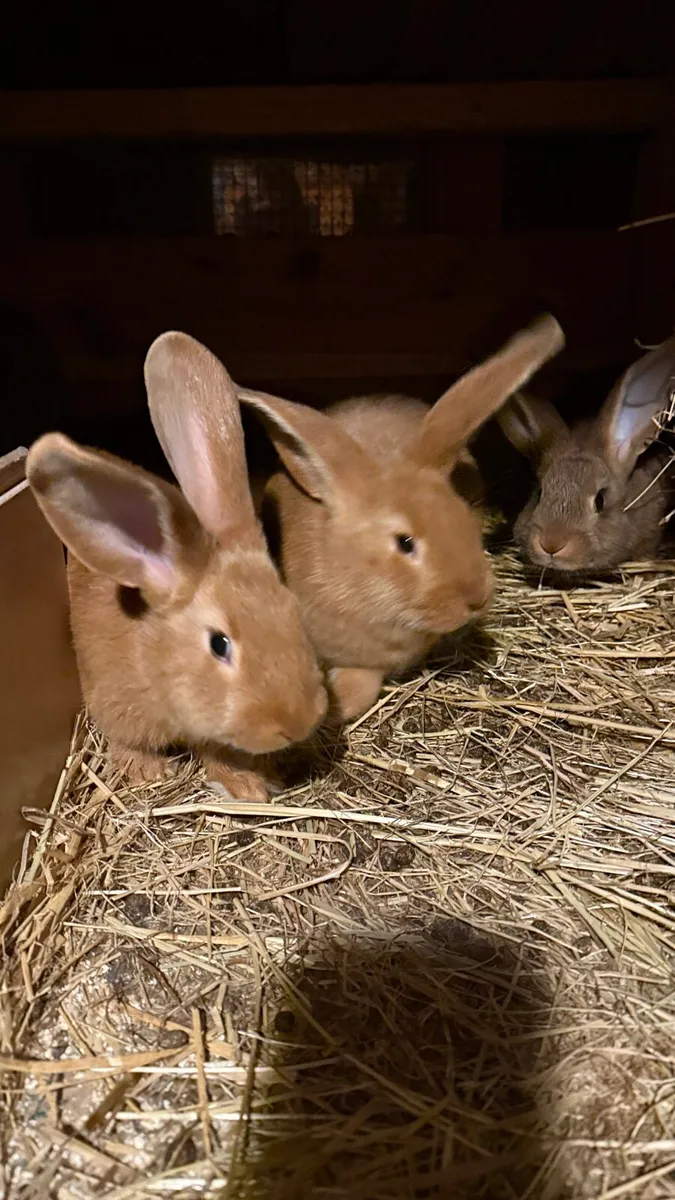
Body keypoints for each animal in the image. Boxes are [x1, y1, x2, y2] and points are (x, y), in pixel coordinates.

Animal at [25, 332, 328, 798]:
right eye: (219, 644)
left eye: (293, 610)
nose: (297, 724)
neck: (154, 654)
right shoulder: (116, 705)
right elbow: (126, 741)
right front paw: (149, 772)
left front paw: (250, 782)